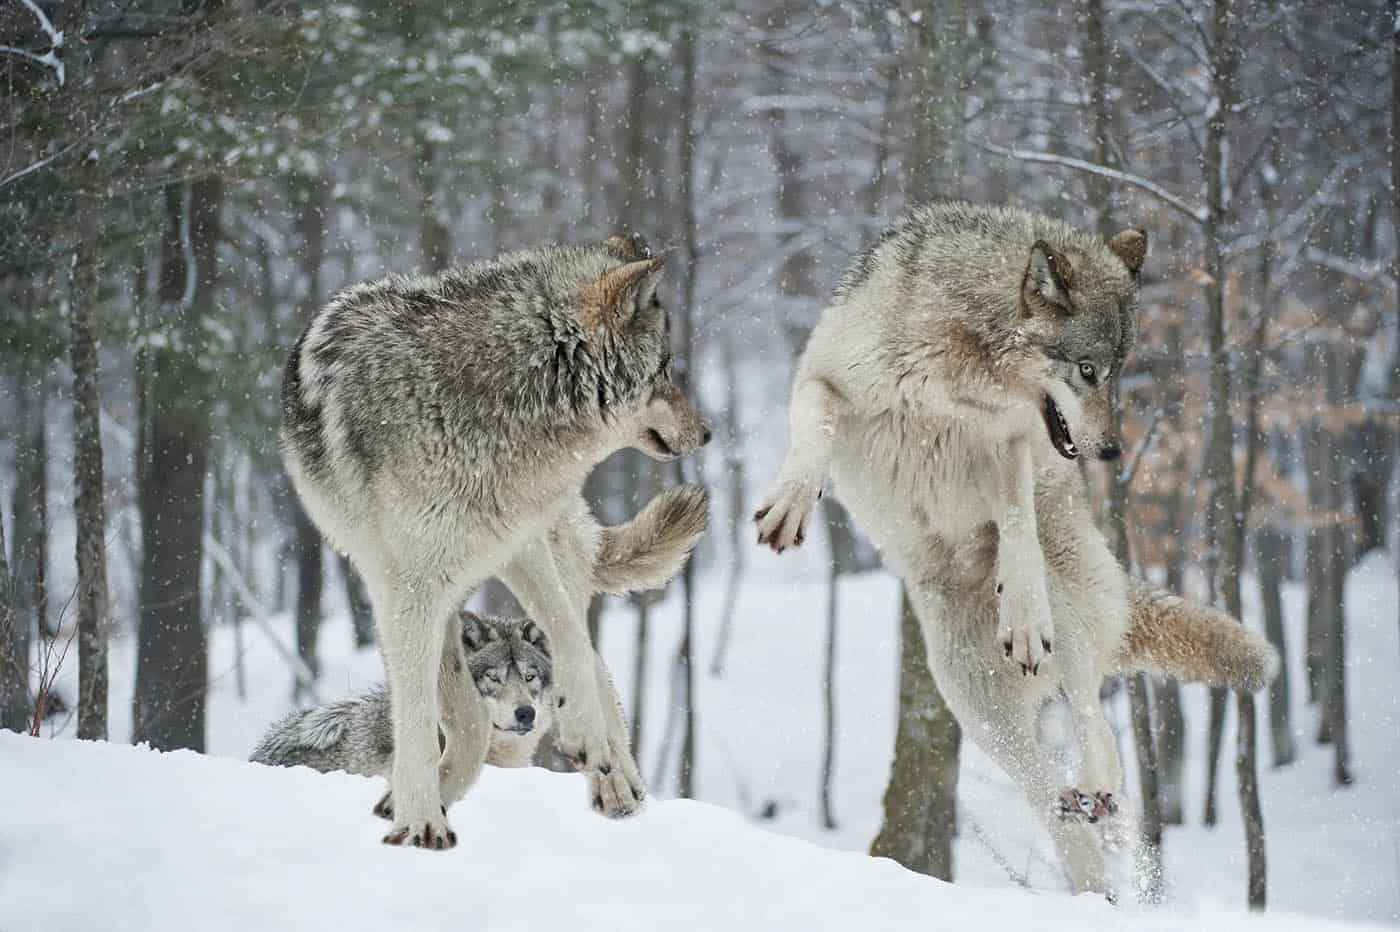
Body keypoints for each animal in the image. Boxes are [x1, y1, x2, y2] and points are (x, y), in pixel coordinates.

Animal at [280, 228, 711, 845]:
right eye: (667, 367)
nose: (708, 432)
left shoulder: (519, 545)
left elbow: (569, 645)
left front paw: (582, 735)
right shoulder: (407, 591)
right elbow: (431, 719)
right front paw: (420, 819)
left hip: (536, 556)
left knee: (591, 658)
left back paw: (616, 779)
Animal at [756, 201, 1282, 895]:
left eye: (1119, 371)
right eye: (1087, 370)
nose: (1111, 451)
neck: (953, 373)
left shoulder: (1007, 445)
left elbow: (1016, 524)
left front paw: (1021, 606)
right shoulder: (822, 377)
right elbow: (813, 431)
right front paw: (792, 499)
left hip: (1068, 618)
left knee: (1093, 716)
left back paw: (1092, 778)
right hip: (977, 710)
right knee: (1051, 794)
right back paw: (1086, 855)